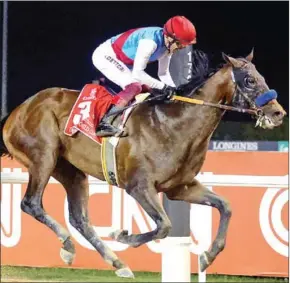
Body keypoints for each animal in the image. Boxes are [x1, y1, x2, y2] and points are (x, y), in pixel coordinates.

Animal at [0, 50, 286, 278]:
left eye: (261, 77)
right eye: (249, 80)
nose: (278, 112)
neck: (174, 123)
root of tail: (17, 111)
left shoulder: (180, 187)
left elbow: (225, 206)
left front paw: (208, 256)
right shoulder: (139, 186)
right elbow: (164, 226)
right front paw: (123, 236)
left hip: (71, 171)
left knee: (80, 218)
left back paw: (113, 261)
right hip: (44, 157)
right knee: (31, 203)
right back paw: (70, 245)